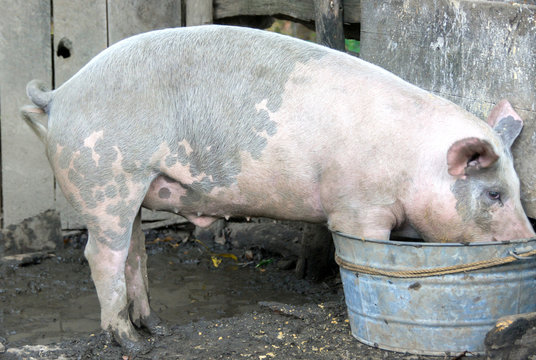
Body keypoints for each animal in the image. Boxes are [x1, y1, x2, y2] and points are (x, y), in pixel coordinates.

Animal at [19, 26, 532, 354]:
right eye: (494, 195)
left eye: (516, 187)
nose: (527, 240)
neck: (413, 163)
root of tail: (59, 95)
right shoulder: (357, 207)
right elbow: (370, 252)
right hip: (106, 179)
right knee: (101, 255)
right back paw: (128, 342)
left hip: (137, 188)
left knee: (135, 253)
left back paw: (156, 330)